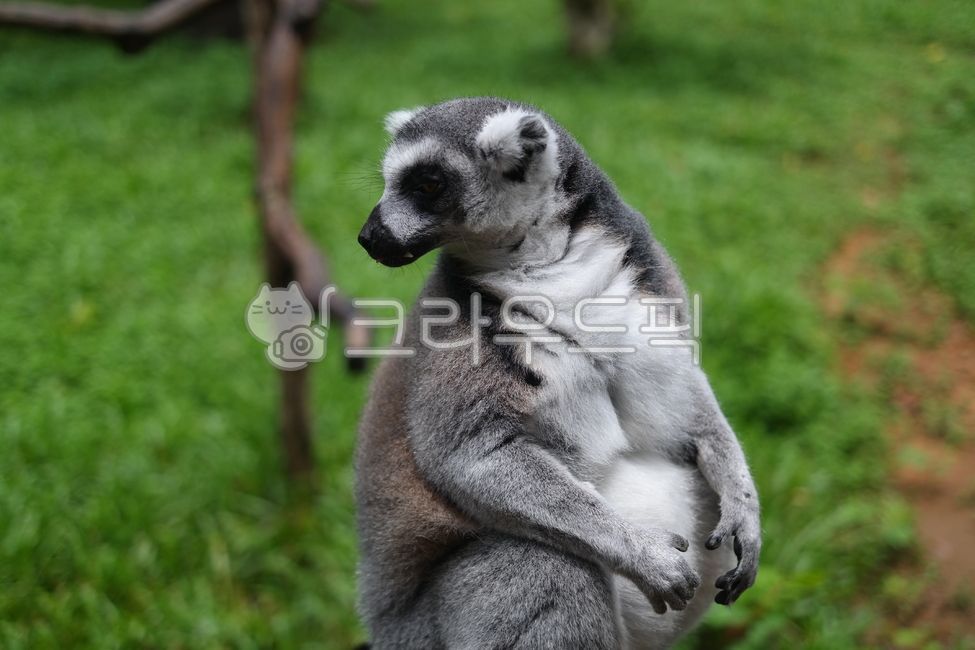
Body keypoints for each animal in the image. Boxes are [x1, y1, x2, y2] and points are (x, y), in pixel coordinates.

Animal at [354, 97, 760, 649]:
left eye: (428, 184)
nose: (369, 237)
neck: (549, 266)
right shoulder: (455, 329)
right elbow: (470, 458)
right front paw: (645, 555)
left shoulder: (649, 284)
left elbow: (687, 401)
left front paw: (744, 507)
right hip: (427, 631)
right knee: (542, 562)